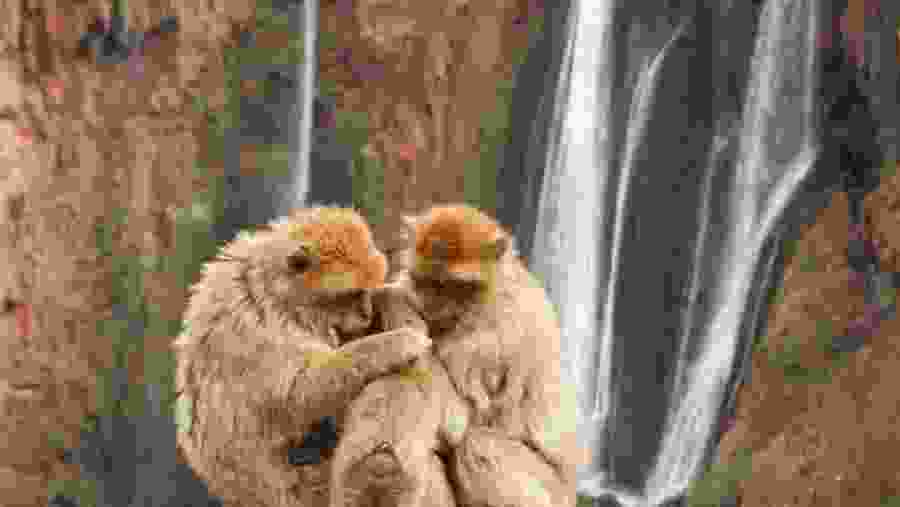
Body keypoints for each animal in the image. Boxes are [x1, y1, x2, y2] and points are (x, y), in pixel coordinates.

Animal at [172, 206, 433, 507]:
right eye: (352, 294)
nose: (366, 313)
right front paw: (398, 342)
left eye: (365, 291)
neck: (275, 292)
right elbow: (298, 394)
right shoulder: (257, 328)